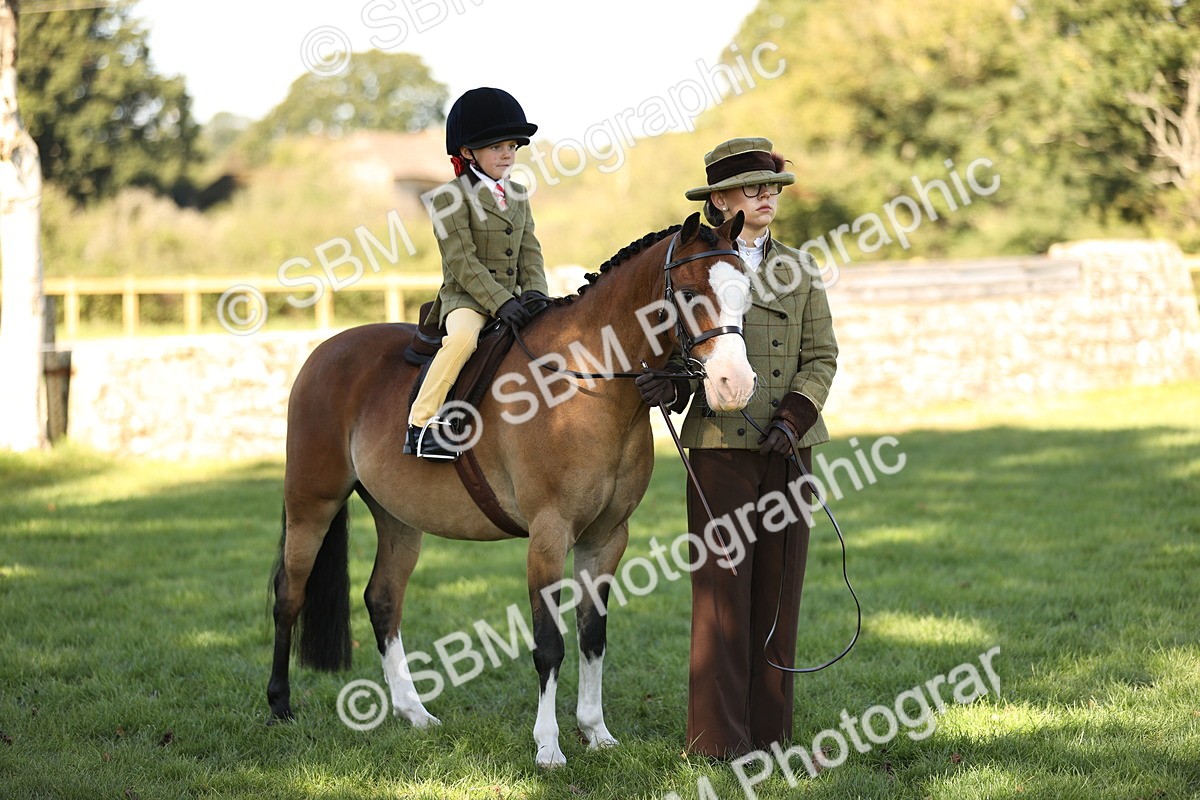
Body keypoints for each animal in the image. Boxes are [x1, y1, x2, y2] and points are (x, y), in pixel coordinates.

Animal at [267, 210, 756, 767]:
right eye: (692, 293)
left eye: (746, 291)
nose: (736, 384)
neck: (586, 382)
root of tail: (326, 350)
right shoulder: (549, 535)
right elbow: (550, 643)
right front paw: (548, 746)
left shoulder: (607, 538)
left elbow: (593, 635)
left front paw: (596, 732)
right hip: (312, 504)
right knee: (289, 595)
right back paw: (279, 705)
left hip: (398, 519)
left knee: (383, 599)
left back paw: (415, 714)